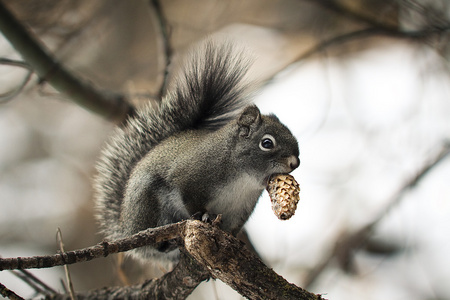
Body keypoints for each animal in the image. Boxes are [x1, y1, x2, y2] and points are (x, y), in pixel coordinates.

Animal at [92, 40, 298, 262]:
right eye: (267, 143)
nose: (295, 163)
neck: (243, 177)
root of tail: (126, 226)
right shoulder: (191, 179)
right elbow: (191, 200)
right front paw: (203, 216)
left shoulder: (240, 210)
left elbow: (230, 229)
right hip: (149, 206)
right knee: (156, 243)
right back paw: (166, 242)